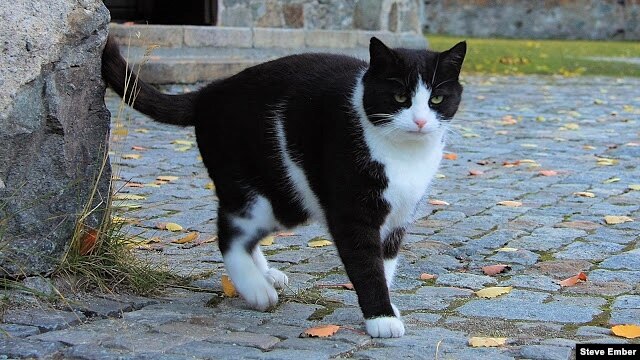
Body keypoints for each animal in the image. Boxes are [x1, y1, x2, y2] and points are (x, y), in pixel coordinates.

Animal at [102, 36, 468, 338]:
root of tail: (209, 92)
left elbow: (386, 262)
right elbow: (367, 264)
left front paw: (387, 307)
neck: (405, 157)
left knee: (243, 232)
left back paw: (266, 275)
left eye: (437, 98)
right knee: (229, 232)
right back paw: (256, 290)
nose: (420, 121)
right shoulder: (352, 212)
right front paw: (381, 318)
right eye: (400, 96)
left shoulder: (399, 216)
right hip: (269, 194)